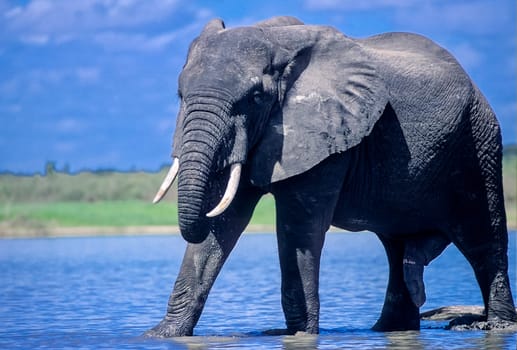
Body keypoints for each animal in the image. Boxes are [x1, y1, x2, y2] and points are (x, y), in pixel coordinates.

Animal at [146, 16, 516, 336]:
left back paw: (490, 326)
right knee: (396, 248)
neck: (277, 41)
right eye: (180, 95)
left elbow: (298, 228)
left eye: (255, 97)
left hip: (477, 143)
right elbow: (223, 223)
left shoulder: (328, 136)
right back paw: (390, 328)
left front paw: (297, 334)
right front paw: (160, 335)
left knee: (482, 237)